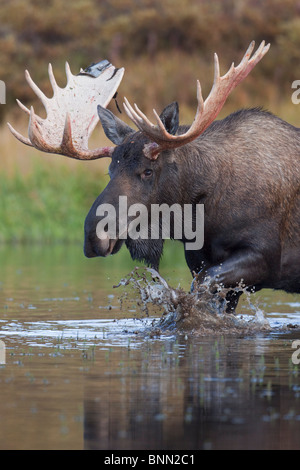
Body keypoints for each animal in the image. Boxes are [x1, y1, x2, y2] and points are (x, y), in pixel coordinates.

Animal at [8, 40, 300, 312]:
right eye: (110, 170)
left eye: (148, 171)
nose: (93, 235)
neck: (201, 216)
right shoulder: (199, 261)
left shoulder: (263, 255)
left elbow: (202, 286)